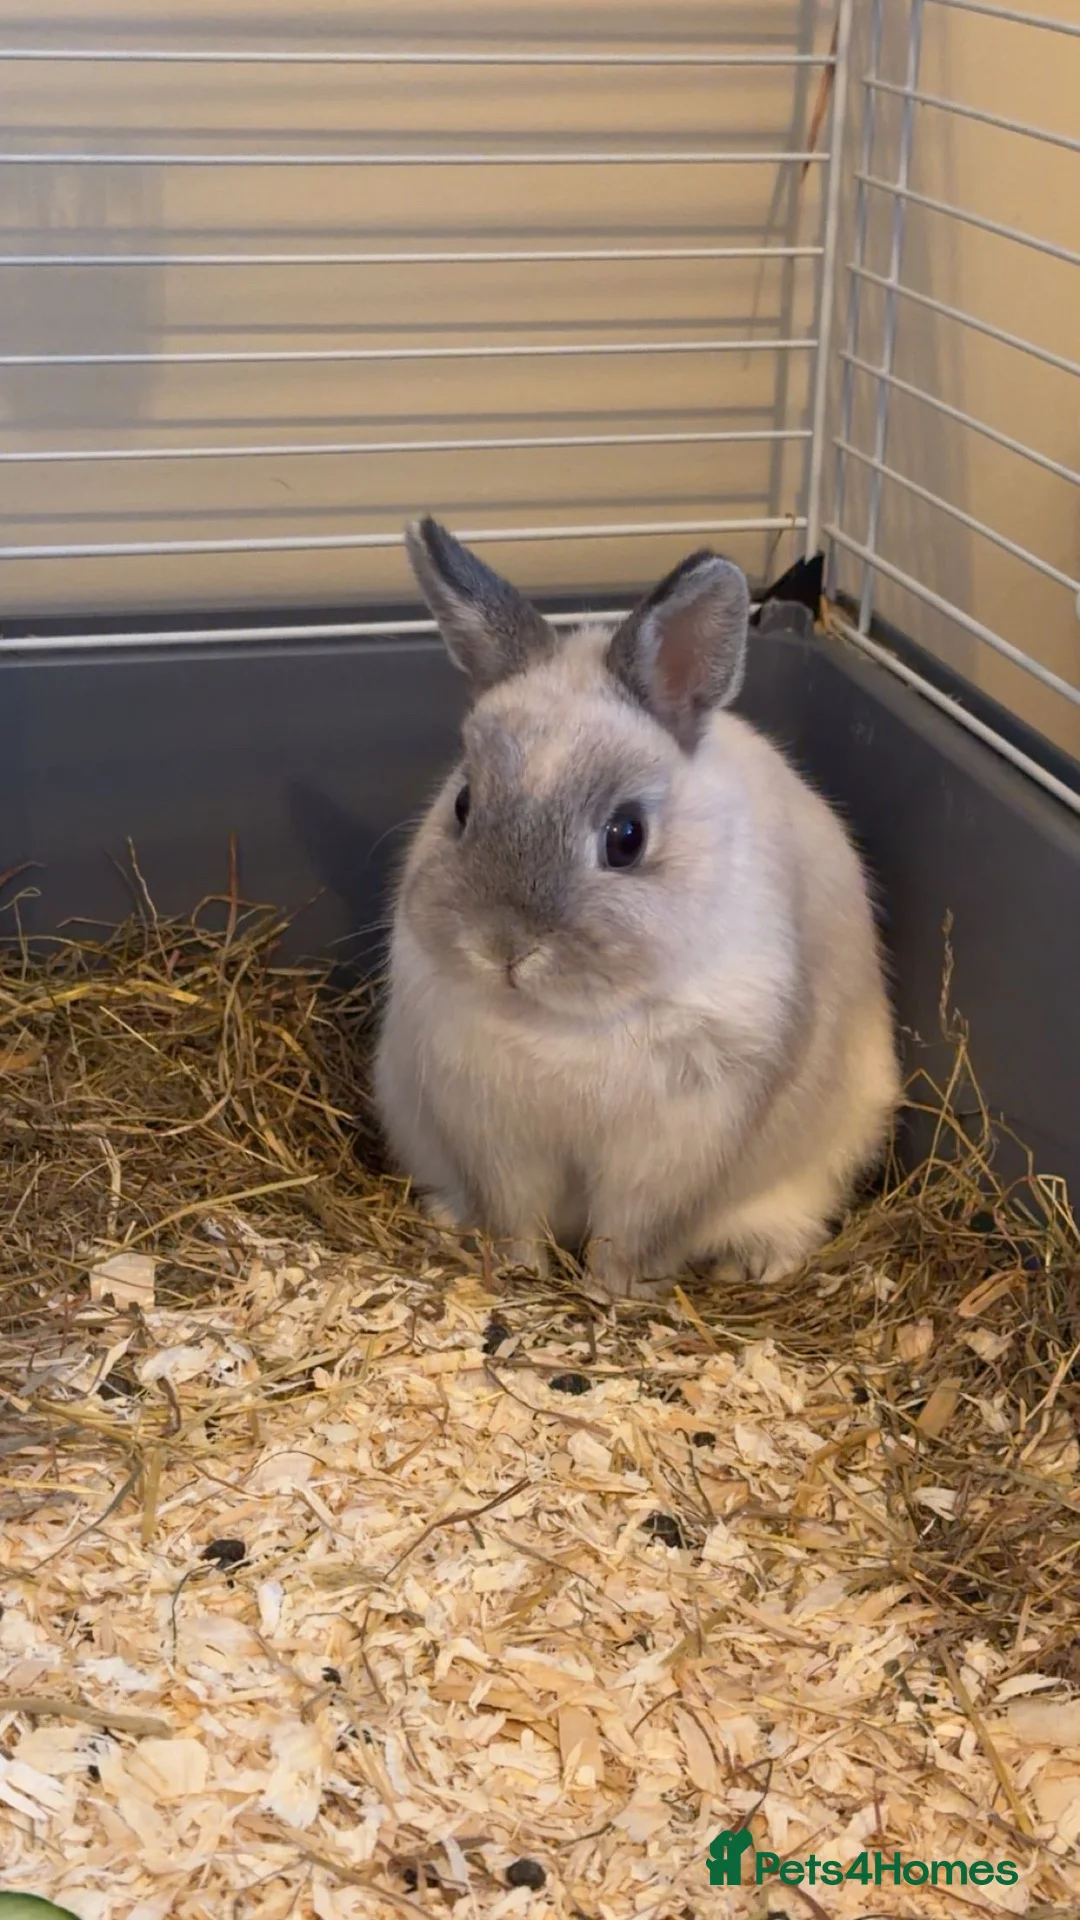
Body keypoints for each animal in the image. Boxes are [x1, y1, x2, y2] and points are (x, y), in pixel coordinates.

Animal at [374, 517, 900, 1299]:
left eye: (627, 838)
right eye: (464, 805)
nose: (504, 947)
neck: (565, 1023)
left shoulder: (679, 1144)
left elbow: (631, 1234)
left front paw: (611, 1294)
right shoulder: (494, 1137)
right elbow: (516, 1218)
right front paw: (523, 1273)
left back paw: (757, 1261)